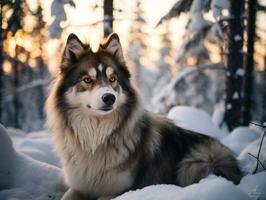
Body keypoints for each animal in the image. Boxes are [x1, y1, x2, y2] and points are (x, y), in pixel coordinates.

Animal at [46, 33, 243, 200]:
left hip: (198, 159)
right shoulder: (79, 186)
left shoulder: (118, 191)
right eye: (87, 80)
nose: (109, 98)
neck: (96, 139)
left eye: (113, 79)